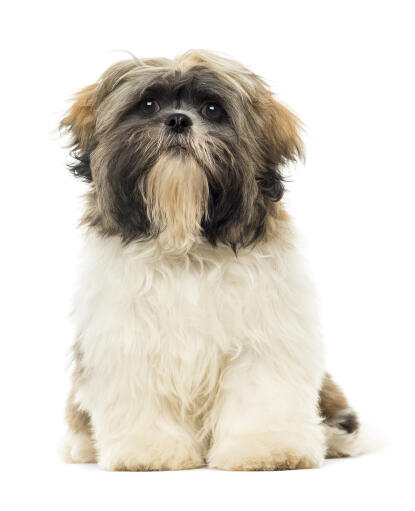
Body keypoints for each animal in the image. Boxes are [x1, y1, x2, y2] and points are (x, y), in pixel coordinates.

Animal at [60, 50, 366, 470]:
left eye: (212, 109)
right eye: (149, 105)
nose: (178, 119)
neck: (186, 245)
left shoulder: (264, 337)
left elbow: (261, 393)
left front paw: (267, 447)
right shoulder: (127, 338)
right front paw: (148, 449)